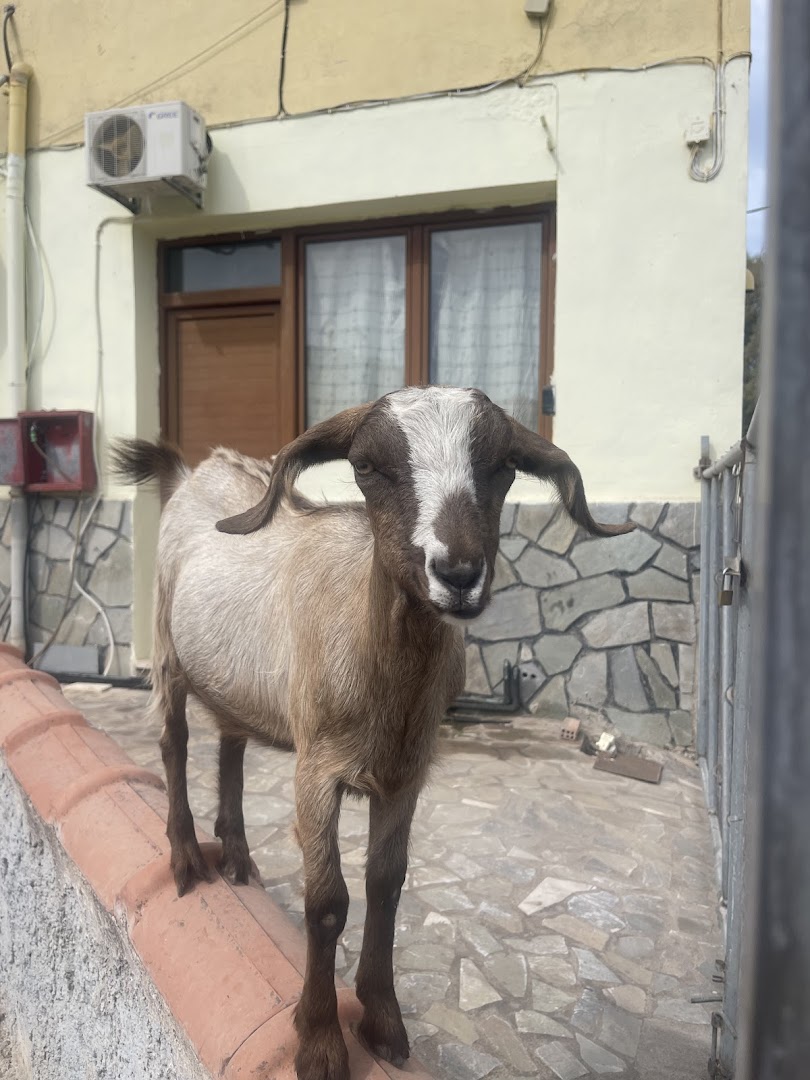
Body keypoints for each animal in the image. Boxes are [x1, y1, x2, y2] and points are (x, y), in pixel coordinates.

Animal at [112, 386, 632, 1080]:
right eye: (367, 466)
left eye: (503, 465)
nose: (458, 572)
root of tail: (196, 472)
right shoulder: (317, 769)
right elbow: (327, 902)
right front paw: (319, 1040)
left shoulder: (406, 773)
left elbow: (386, 885)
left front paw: (383, 1020)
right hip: (167, 648)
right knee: (174, 744)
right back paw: (187, 860)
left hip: (236, 682)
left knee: (231, 743)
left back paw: (240, 857)